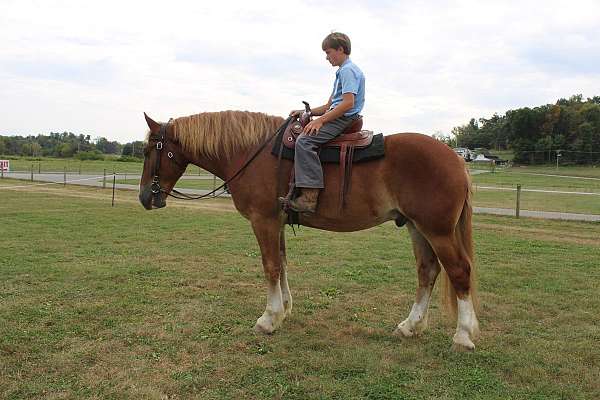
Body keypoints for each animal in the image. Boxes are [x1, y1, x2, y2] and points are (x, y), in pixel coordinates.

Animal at [138, 109, 480, 350]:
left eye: (148, 151)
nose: (144, 197)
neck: (252, 153)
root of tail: (456, 160)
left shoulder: (263, 220)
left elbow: (270, 266)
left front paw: (268, 319)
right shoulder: (276, 221)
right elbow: (282, 264)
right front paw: (284, 310)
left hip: (437, 231)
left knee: (459, 271)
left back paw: (463, 337)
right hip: (415, 227)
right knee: (427, 271)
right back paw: (410, 326)